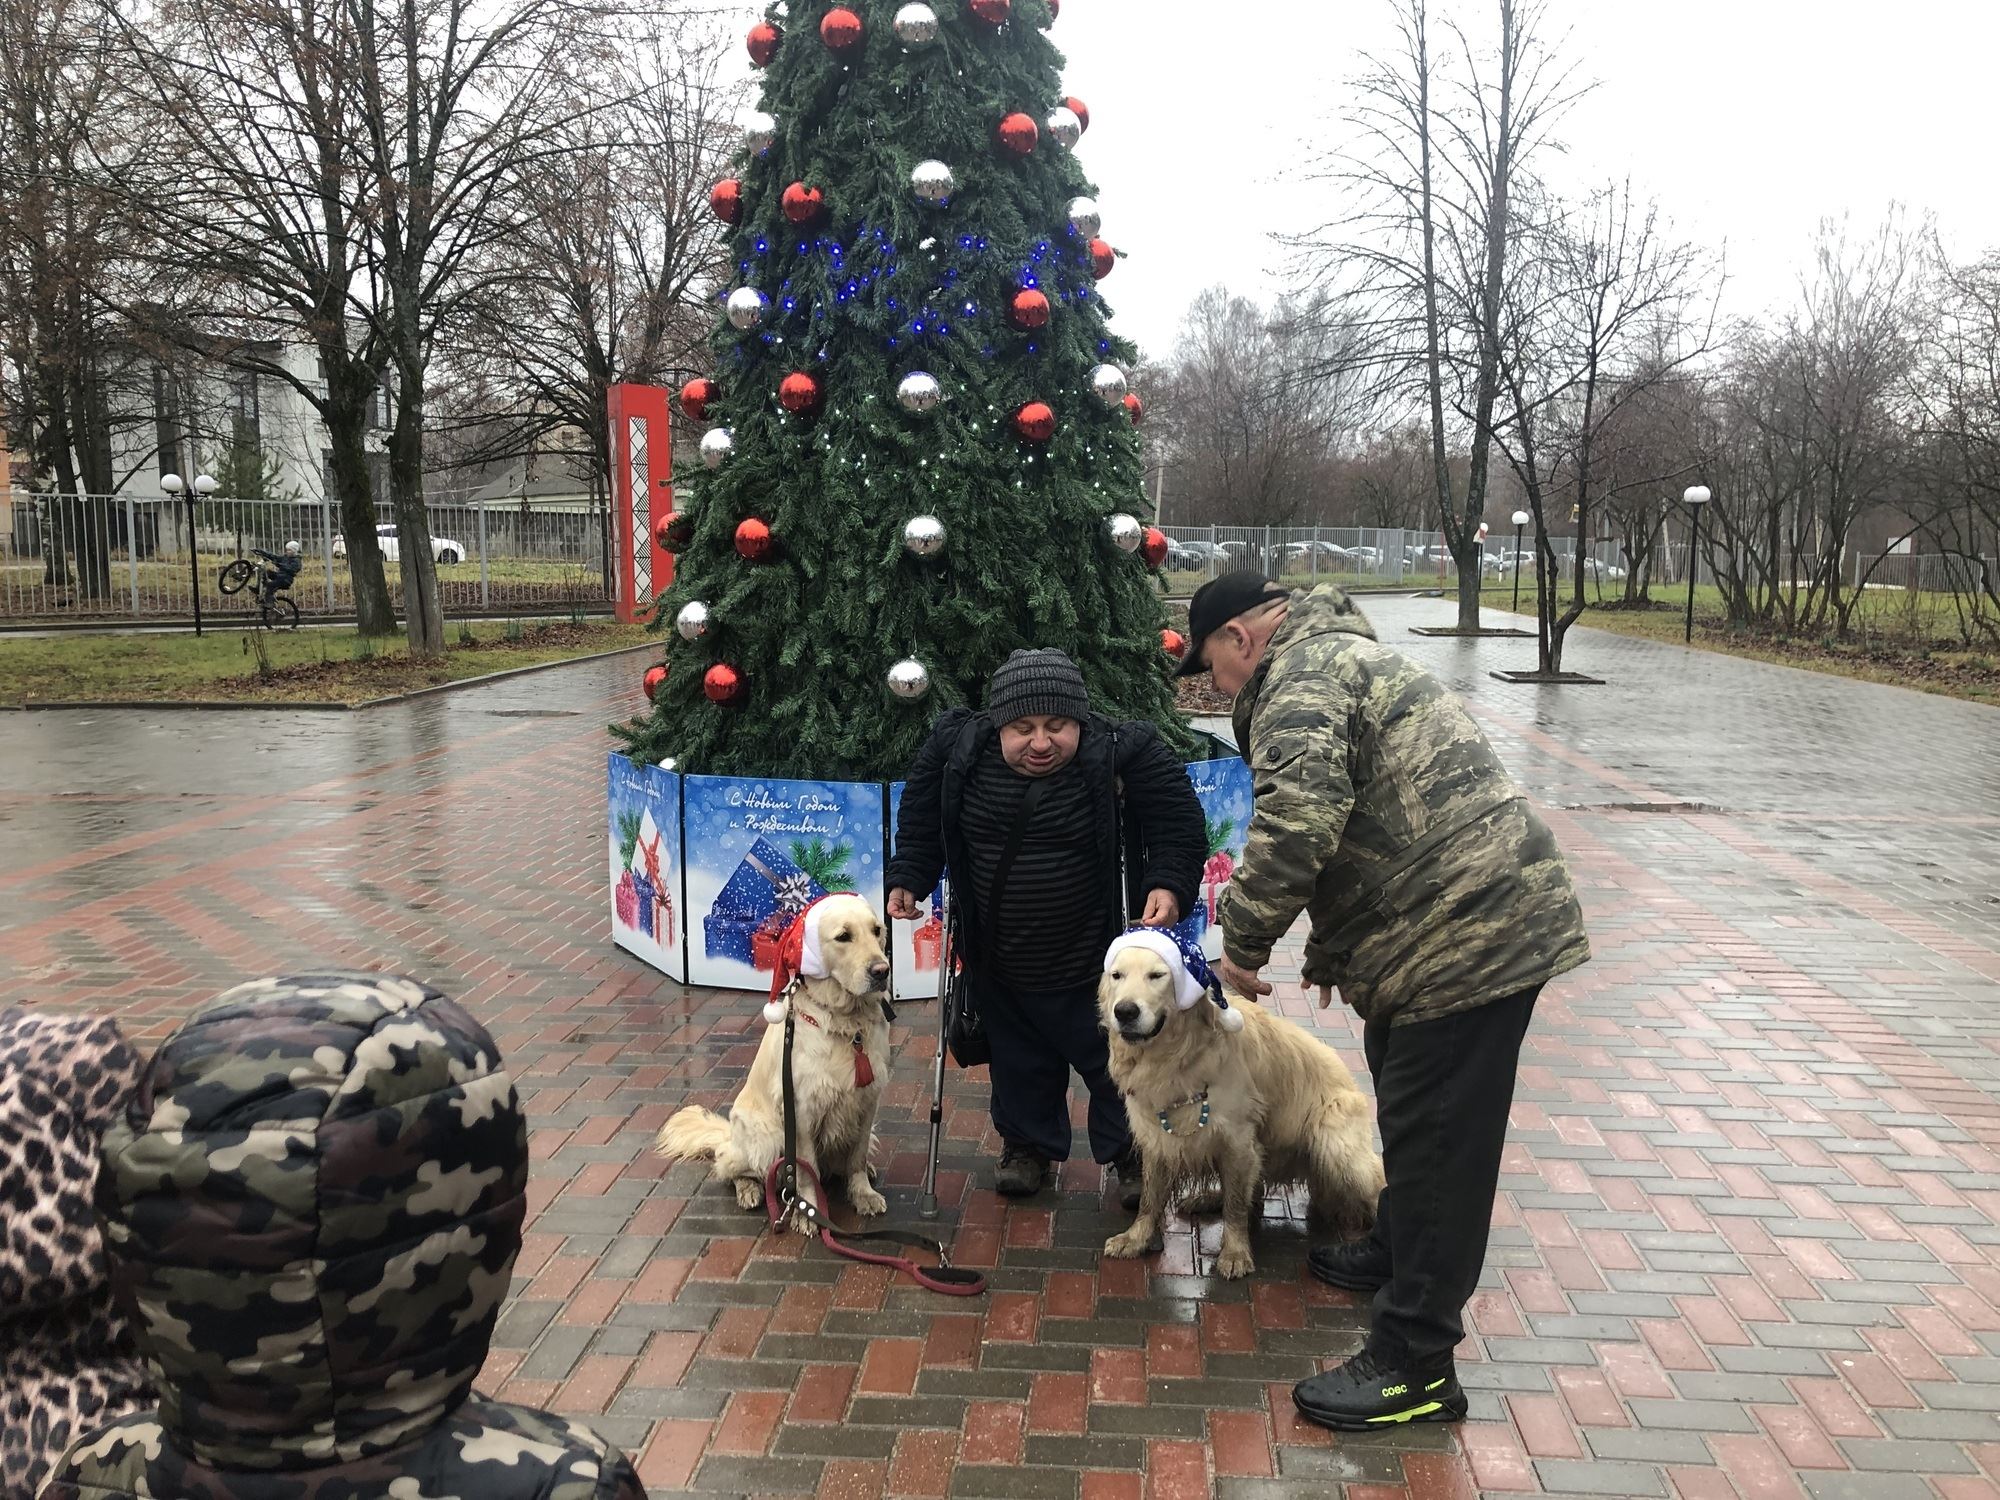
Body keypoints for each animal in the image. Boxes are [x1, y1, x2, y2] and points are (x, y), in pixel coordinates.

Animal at [657, 893, 892, 1226]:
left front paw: (863, 1194)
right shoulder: (801, 1109)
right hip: (764, 1137)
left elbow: (856, 1157)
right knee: (729, 1165)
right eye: (843, 936)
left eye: (877, 931)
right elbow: (806, 1169)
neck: (845, 1021)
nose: (882, 971)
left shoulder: (868, 1098)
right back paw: (749, 1190)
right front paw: (809, 1213)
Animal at [1098, 929, 1384, 1279]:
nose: (1125, 1011)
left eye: (1156, 976)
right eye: (1117, 975)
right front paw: (1135, 1239)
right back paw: (1207, 1198)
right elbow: (1149, 1200)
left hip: (1335, 1143)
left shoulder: (1238, 1140)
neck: (1176, 1057)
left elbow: (1235, 1207)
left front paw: (1235, 1253)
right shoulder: (1156, 1137)